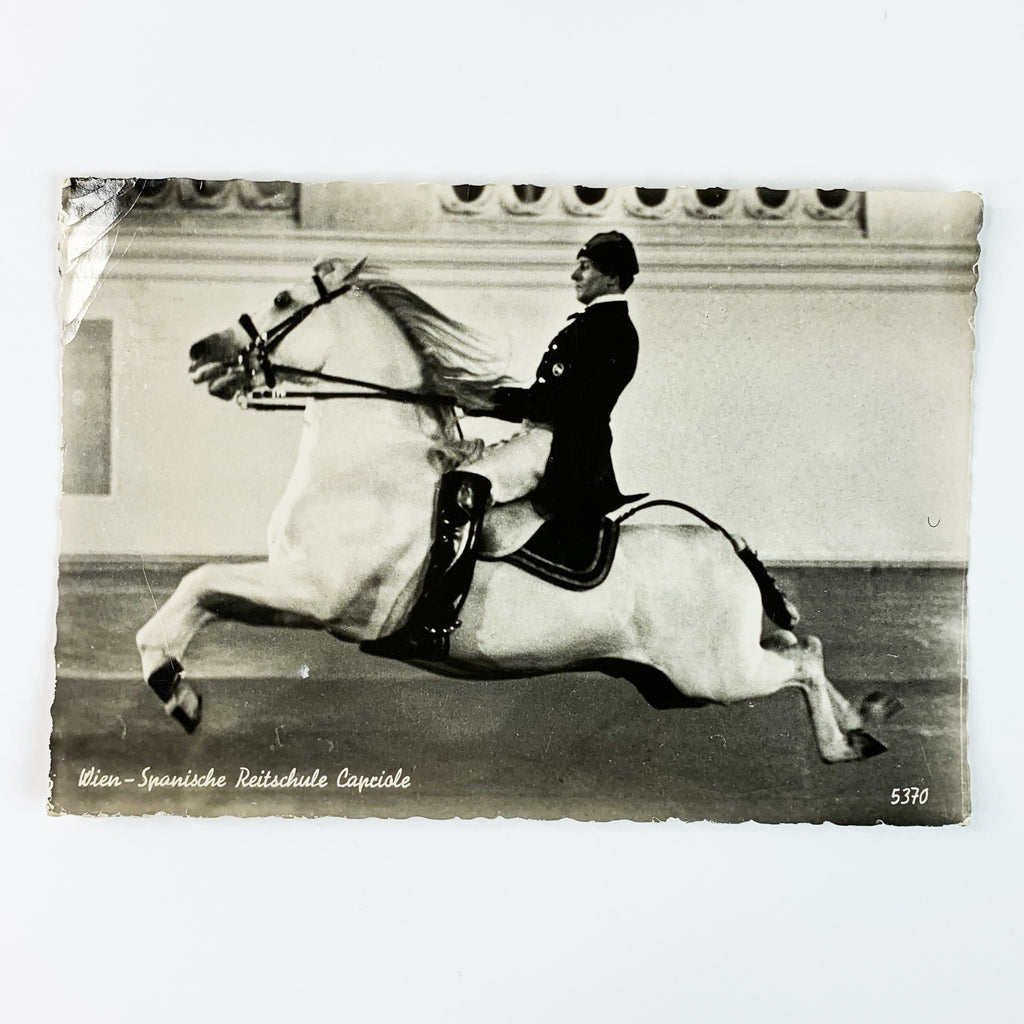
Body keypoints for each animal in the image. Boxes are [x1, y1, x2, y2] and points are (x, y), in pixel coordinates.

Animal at [134, 260, 897, 765]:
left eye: (282, 297)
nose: (203, 354)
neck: (371, 458)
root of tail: (728, 543)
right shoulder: (290, 589)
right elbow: (199, 594)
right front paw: (177, 688)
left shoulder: (316, 594)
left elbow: (199, 581)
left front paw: (170, 685)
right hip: (682, 682)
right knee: (805, 650)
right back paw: (863, 724)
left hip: (713, 674)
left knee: (804, 660)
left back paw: (845, 743)